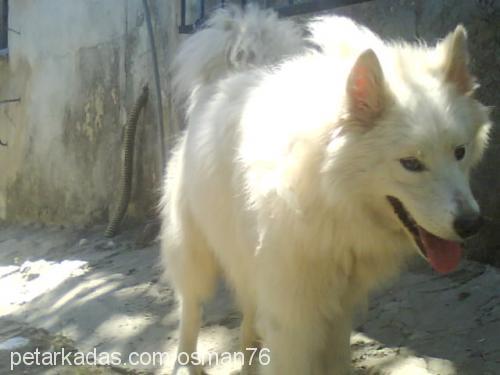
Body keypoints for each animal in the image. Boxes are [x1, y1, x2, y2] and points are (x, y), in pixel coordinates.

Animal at [161, 5, 492, 375]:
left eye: (460, 152)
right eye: (410, 163)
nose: (472, 224)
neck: (330, 196)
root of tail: (224, 81)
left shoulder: (336, 313)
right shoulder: (293, 319)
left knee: (247, 329)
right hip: (197, 262)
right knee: (189, 316)